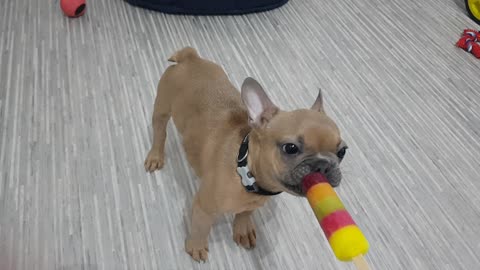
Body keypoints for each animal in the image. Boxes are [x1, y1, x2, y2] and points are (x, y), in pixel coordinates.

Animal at [144, 47, 346, 262]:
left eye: (342, 151)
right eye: (290, 148)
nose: (323, 164)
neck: (245, 171)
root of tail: (190, 58)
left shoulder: (253, 203)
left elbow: (245, 213)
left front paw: (242, 228)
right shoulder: (203, 208)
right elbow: (200, 228)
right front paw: (196, 246)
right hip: (162, 108)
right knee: (160, 132)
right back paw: (155, 156)